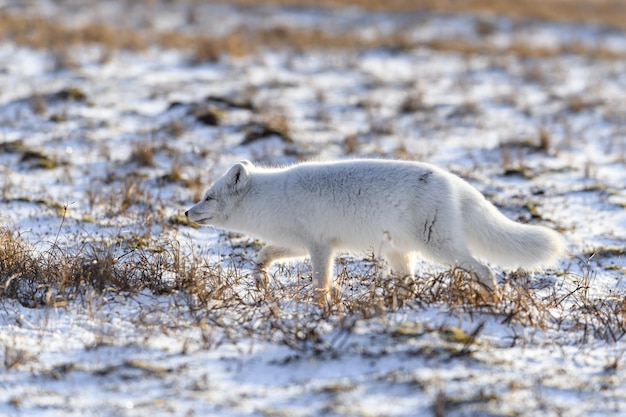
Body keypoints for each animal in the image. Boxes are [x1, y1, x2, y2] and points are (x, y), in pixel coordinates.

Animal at [183, 158, 564, 300]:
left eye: (208, 196)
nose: (186, 211)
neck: (271, 198)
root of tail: (454, 181)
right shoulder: (297, 243)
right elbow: (262, 254)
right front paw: (261, 279)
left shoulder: (320, 246)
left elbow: (321, 282)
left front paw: (321, 307)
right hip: (401, 254)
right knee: (411, 283)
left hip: (441, 248)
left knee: (483, 268)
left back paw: (493, 300)